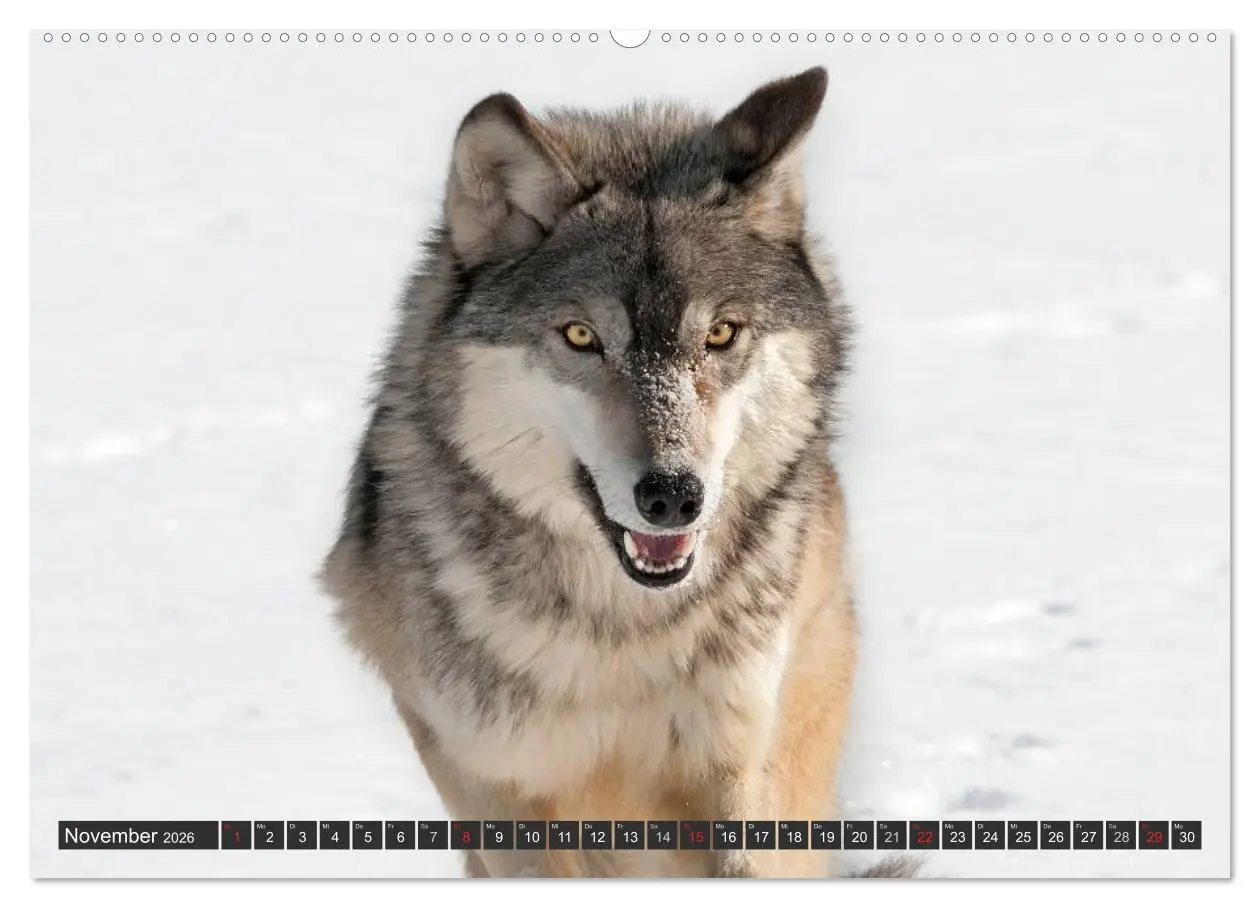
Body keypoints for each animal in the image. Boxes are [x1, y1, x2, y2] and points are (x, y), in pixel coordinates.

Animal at [321, 66, 861, 878]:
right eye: (580, 336)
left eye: (721, 333)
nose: (672, 496)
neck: (620, 636)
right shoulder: (495, 786)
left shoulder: (739, 768)